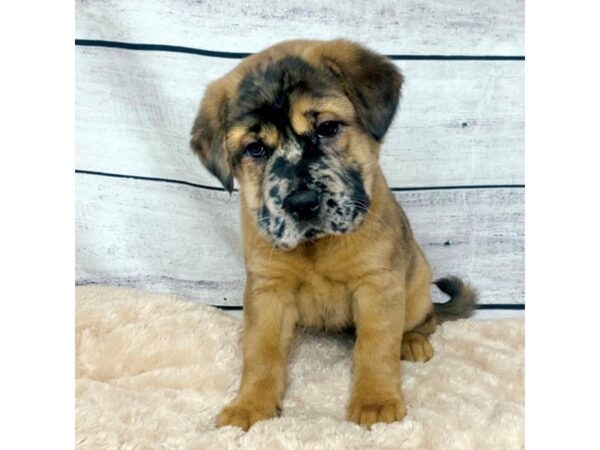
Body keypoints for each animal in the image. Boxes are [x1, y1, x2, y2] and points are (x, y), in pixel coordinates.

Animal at [190, 39, 476, 428]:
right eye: (255, 149)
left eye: (327, 128)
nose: (302, 203)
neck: (316, 247)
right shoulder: (267, 291)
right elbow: (261, 353)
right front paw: (250, 405)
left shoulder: (378, 285)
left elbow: (375, 348)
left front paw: (375, 401)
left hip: (416, 289)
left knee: (427, 321)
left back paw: (412, 341)